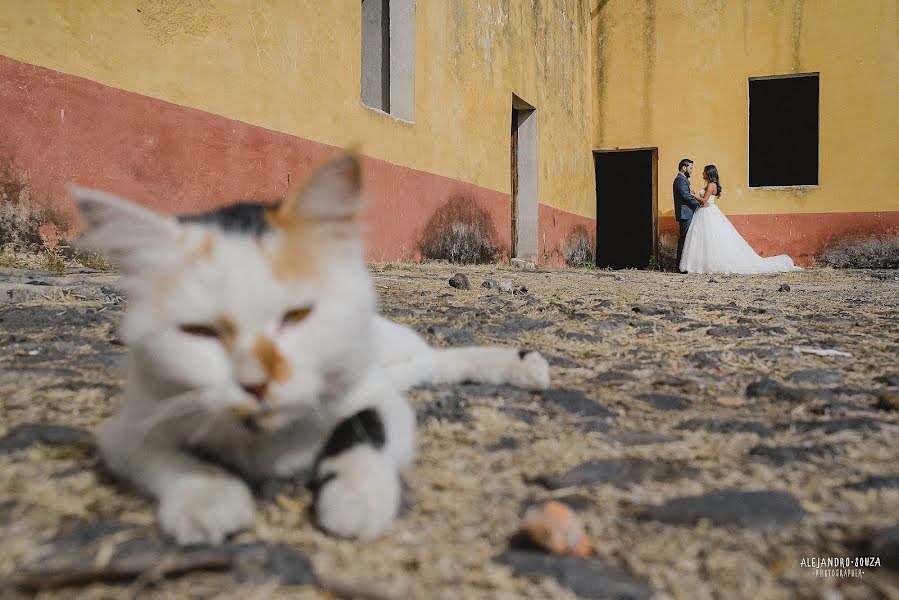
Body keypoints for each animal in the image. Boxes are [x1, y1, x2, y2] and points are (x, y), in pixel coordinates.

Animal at [70, 154, 548, 544]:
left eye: (296, 316)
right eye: (200, 331)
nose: (257, 383)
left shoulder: (379, 400)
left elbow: (364, 429)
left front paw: (355, 495)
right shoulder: (125, 429)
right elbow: (168, 456)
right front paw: (207, 497)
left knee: (436, 358)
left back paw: (523, 365)